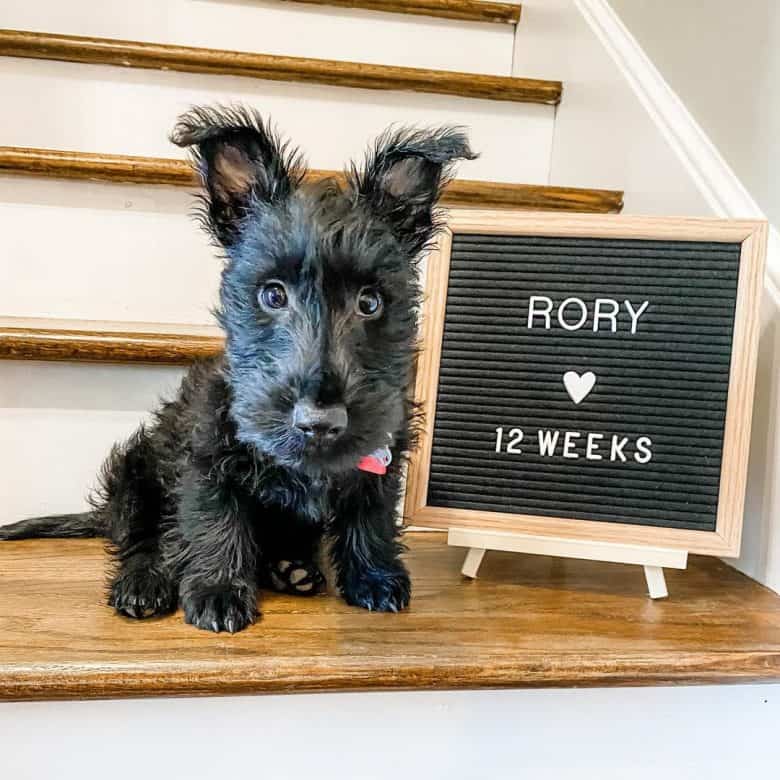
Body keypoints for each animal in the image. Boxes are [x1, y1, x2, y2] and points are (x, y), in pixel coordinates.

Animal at [1, 106, 476, 632]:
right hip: (134, 473)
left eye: (370, 302)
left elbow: (369, 516)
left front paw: (375, 577)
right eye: (272, 294)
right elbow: (215, 521)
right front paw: (218, 591)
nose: (320, 422)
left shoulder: (383, 456)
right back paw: (145, 582)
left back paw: (291, 569)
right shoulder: (206, 458)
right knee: (144, 538)